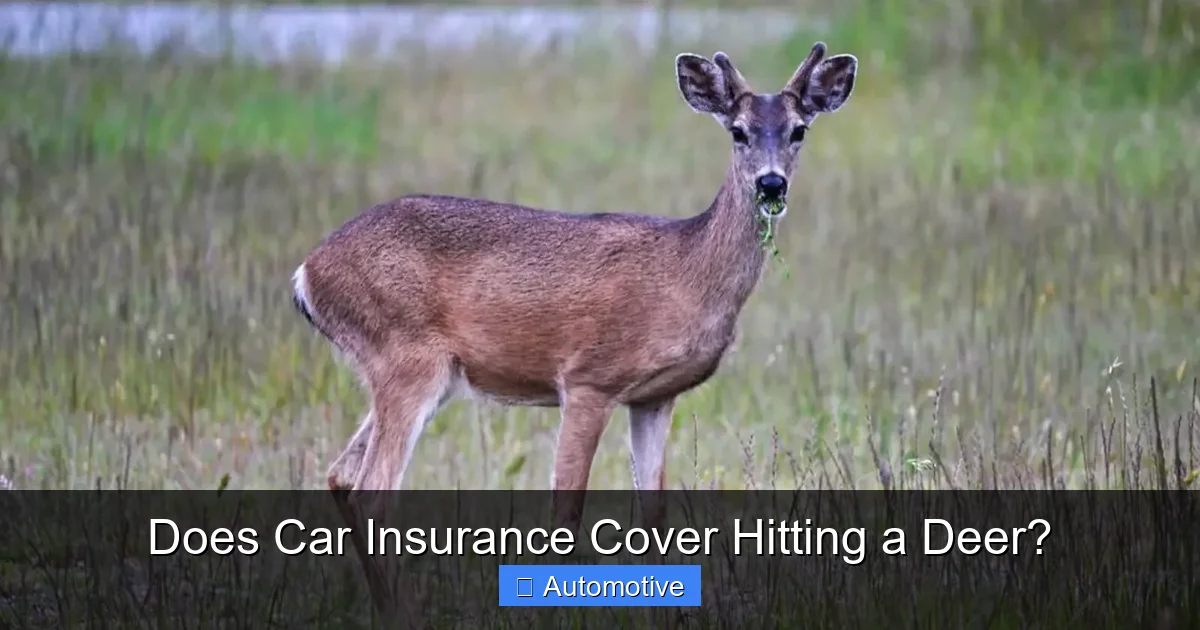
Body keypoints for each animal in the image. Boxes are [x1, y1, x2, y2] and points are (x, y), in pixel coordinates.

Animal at [291, 41, 856, 624]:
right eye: (738, 130)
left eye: (799, 130)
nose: (771, 184)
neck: (684, 272)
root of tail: (308, 273)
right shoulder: (589, 378)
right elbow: (565, 512)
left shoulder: (654, 397)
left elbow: (654, 513)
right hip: (406, 358)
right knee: (372, 490)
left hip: (424, 375)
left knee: (340, 476)